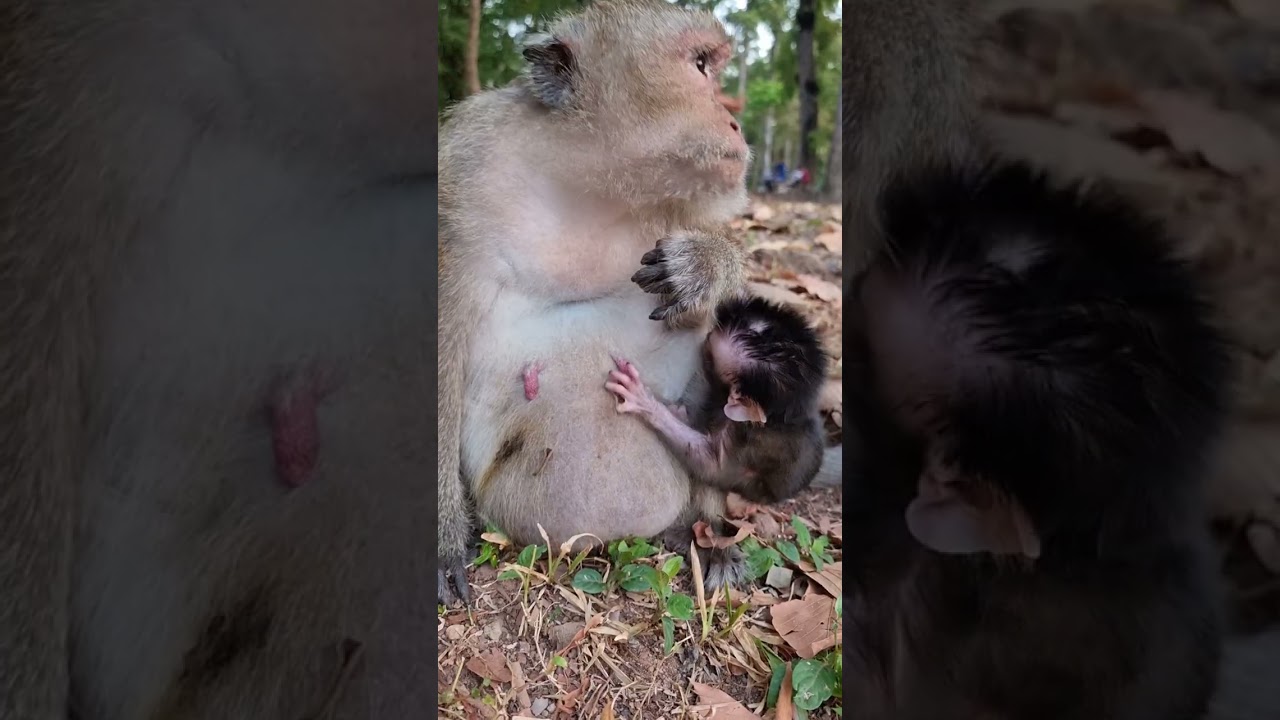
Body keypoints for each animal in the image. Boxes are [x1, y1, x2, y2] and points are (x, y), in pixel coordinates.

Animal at [437, 0, 757, 604]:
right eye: (700, 66)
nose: (735, 121)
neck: (589, 186)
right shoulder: (461, 181)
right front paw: (441, 543)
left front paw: (703, 266)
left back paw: (704, 531)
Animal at [604, 295, 829, 506]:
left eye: (710, 355)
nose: (706, 336)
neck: (779, 416)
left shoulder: (749, 442)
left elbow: (713, 466)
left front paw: (644, 400)